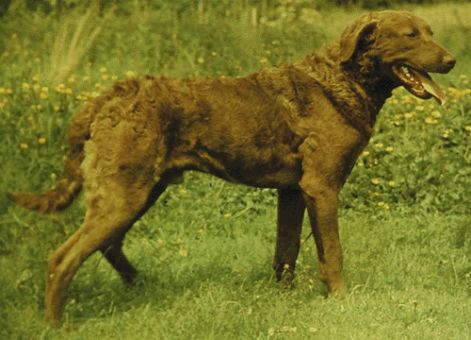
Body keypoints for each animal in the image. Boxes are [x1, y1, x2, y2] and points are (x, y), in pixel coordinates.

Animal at [8, 9, 458, 324]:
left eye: (430, 32)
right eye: (411, 35)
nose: (452, 60)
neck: (343, 80)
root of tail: (109, 96)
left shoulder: (292, 191)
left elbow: (286, 251)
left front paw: (282, 298)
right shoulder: (321, 187)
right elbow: (332, 253)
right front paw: (342, 301)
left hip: (139, 190)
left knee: (108, 244)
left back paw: (142, 284)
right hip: (124, 193)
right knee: (62, 259)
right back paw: (57, 325)